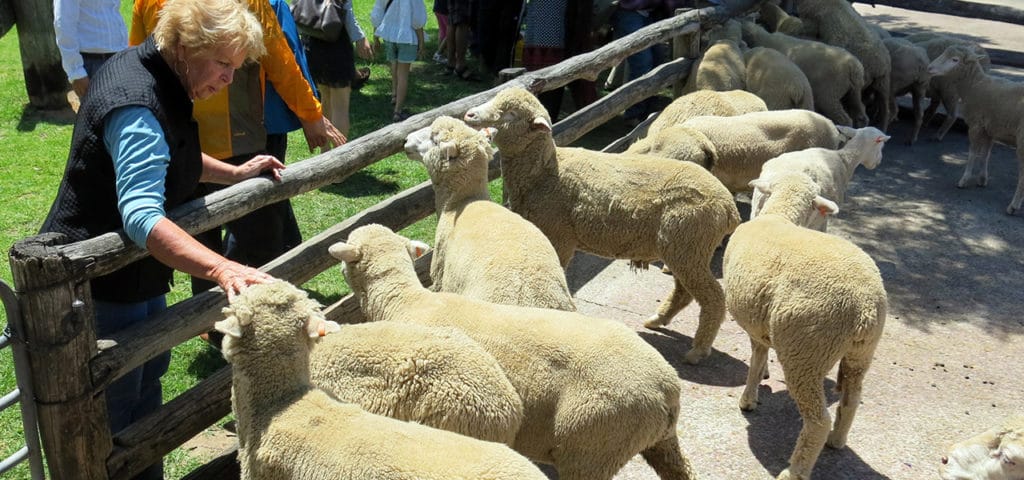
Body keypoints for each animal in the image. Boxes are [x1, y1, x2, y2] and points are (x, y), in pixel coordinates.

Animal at [463, 87, 742, 364]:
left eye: (511, 113)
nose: (470, 114)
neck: (545, 171)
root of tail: (729, 207)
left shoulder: (559, 237)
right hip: (685, 249)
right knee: (684, 291)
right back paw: (657, 320)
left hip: (689, 244)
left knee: (712, 296)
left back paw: (698, 350)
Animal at [723, 172, 888, 480]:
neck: (779, 216)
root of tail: (865, 307)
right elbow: (760, 356)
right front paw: (760, 380)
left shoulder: (754, 323)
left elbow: (756, 357)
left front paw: (748, 399)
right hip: (861, 352)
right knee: (851, 398)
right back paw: (837, 439)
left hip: (807, 349)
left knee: (817, 420)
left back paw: (794, 470)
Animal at [927, 44, 1024, 214]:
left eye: (955, 60)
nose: (929, 68)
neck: (975, 86)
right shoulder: (991, 129)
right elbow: (985, 155)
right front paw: (982, 179)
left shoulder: (975, 125)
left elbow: (973, 154)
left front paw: (964, 180)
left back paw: (1013, 206)